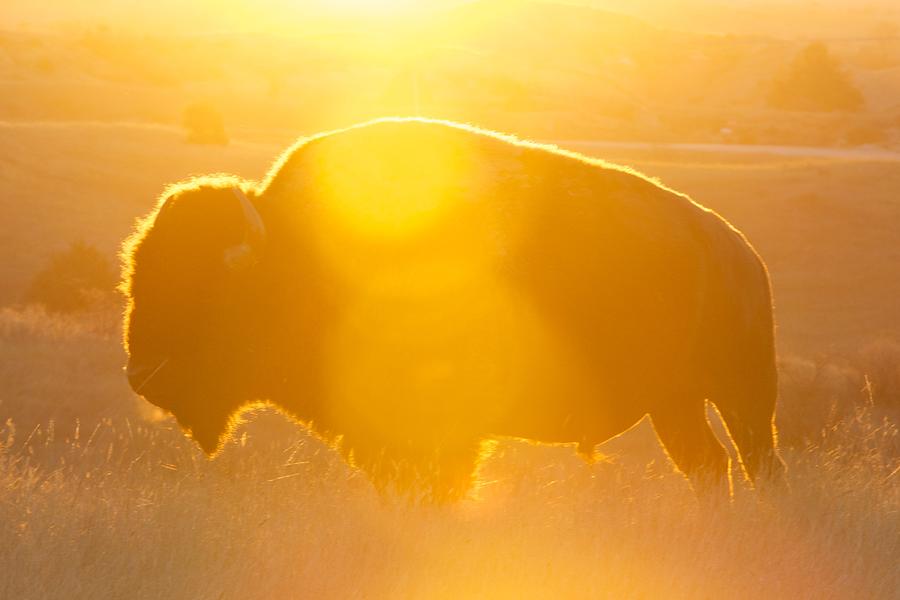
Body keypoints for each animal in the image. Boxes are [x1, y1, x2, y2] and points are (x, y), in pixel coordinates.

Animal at [123, 116, 784, 496]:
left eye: (205, 293)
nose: (140, 375)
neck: (291, 249)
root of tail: (742, 254)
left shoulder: (441, 433)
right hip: (675, 405)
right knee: (708, 466)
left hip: (742, 394)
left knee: (757, 463)